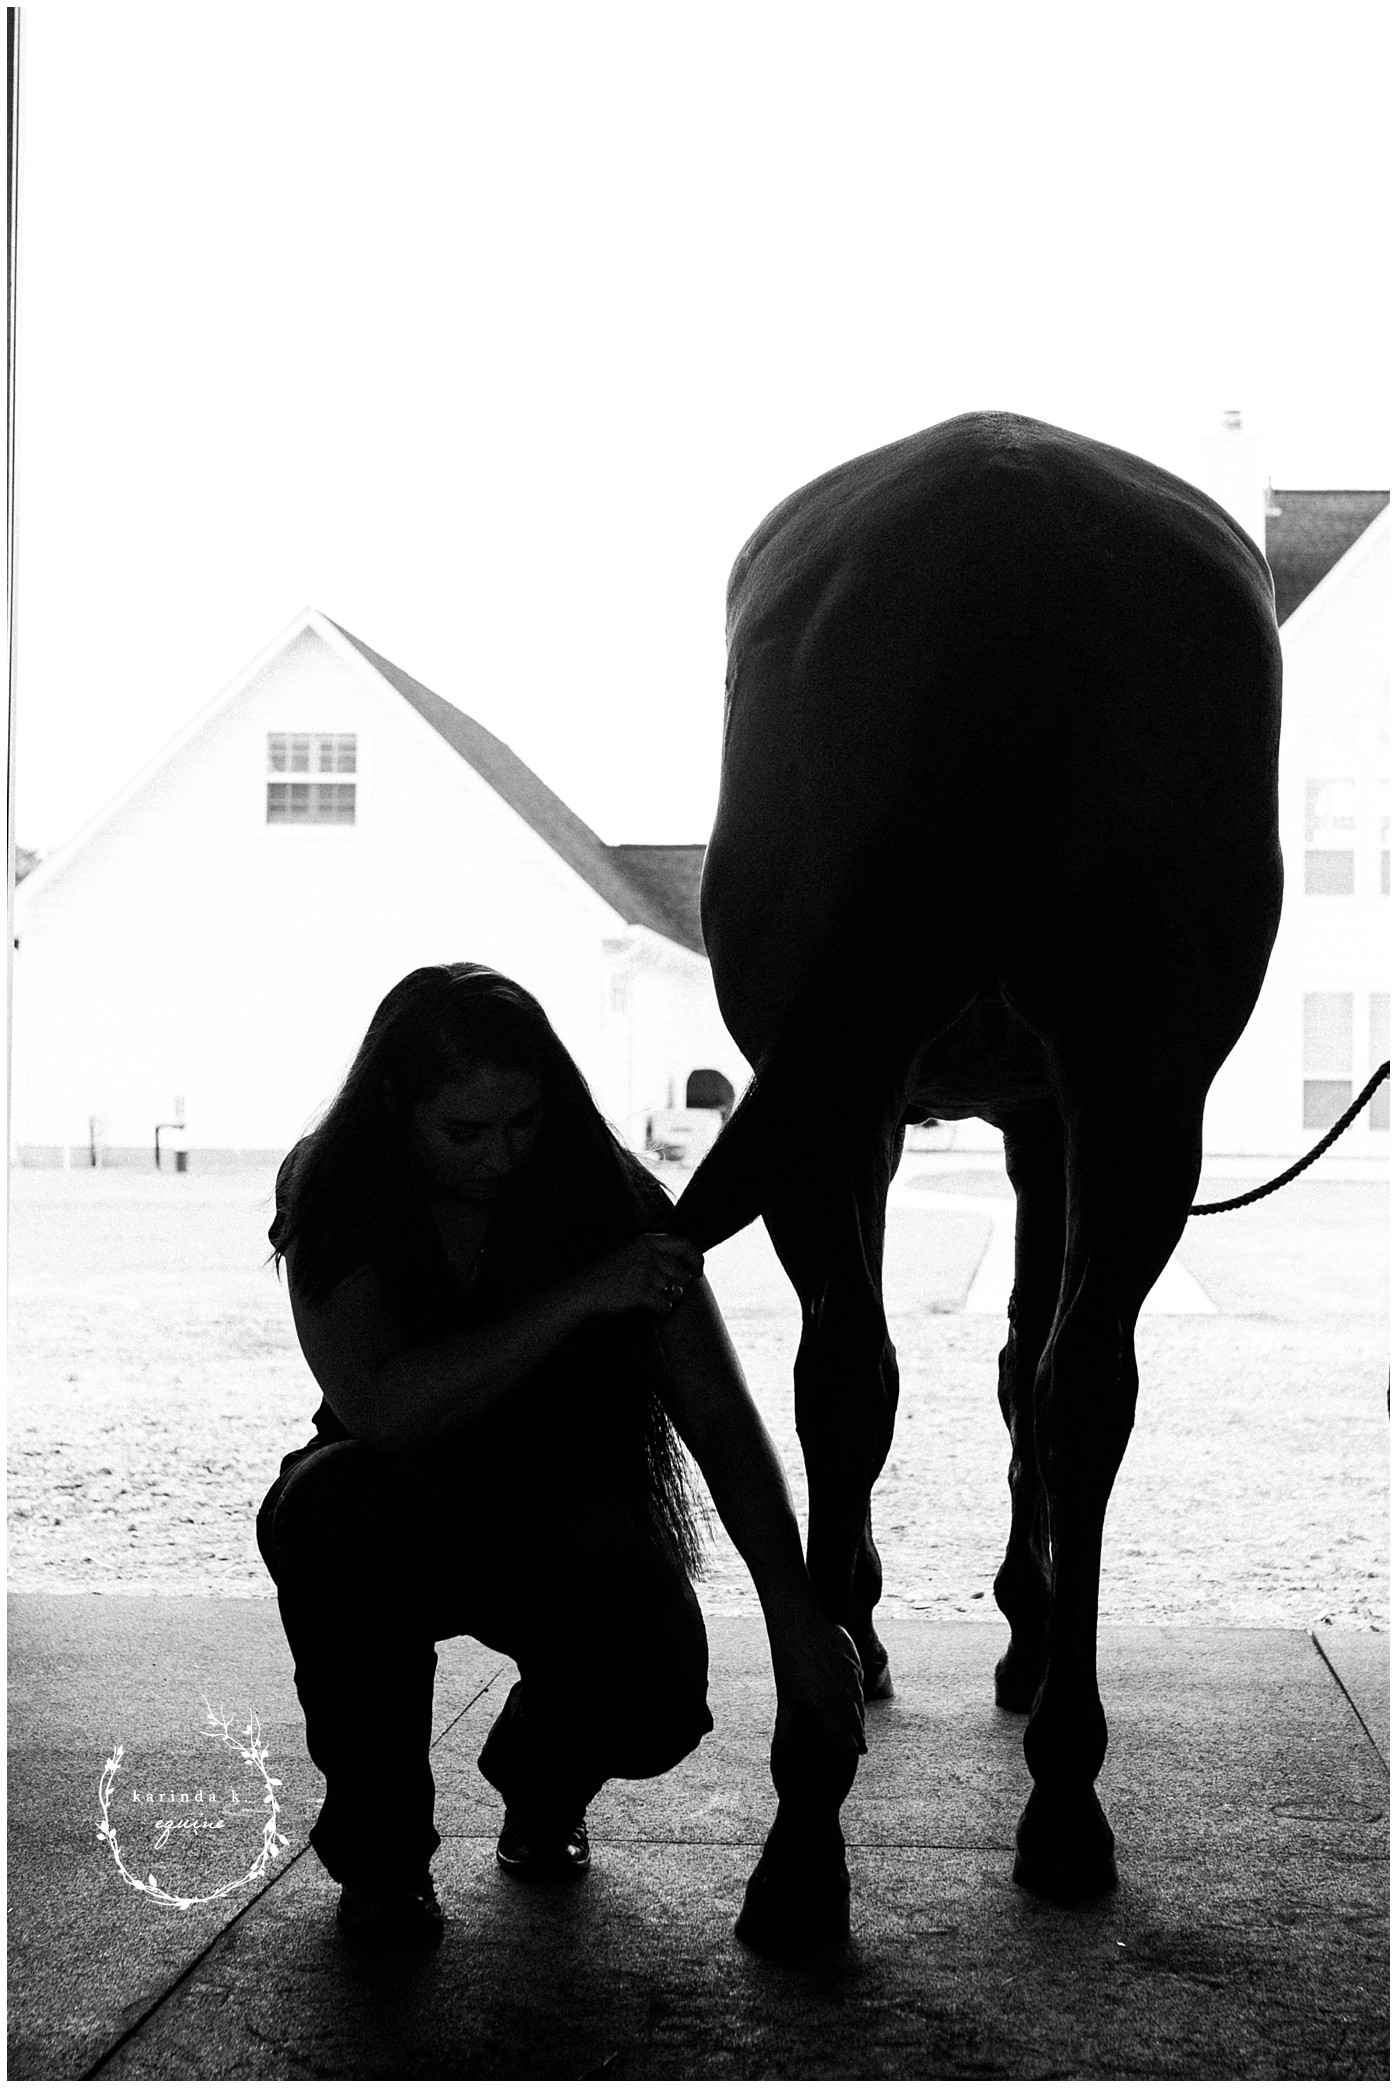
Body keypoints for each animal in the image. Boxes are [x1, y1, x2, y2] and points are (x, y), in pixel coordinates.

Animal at [672, 410, 1283, 1958]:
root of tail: (997, 519)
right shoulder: (1032, 1115)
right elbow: (1016, 1365)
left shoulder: (942, 1115)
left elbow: (958, 1367)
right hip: (1132, 1095)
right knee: (1070, 1390)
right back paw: (1047, 1790)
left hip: (876, 1088)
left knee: (877, 1381)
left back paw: (829, 1816)